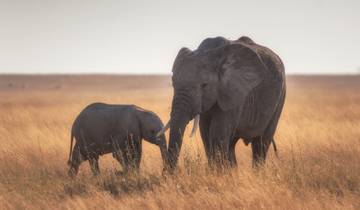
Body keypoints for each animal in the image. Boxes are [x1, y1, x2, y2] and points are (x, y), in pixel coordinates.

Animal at [159, 35, 286, 171]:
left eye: (204, 85)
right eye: (173, 82)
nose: (167, 174)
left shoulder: (233, 93)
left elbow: (217, 134)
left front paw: (218, 173)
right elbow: (205, 133)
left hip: (280, 97)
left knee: (261, 143)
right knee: (232, 144)